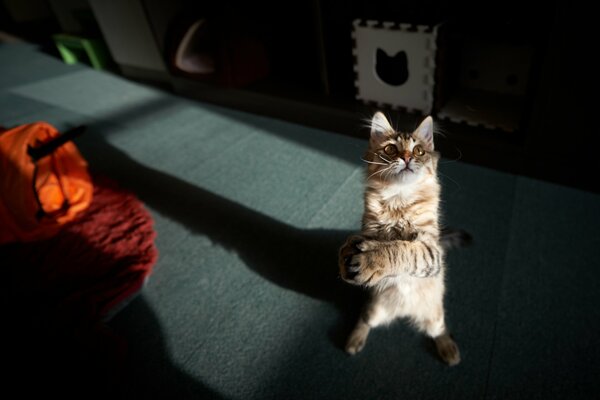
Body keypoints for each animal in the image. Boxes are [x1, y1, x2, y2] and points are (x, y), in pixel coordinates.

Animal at [340, 111, 462, 366]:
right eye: (390, 150)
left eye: (419, 151)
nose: (406, 158)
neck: (400, 199)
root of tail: (406, 312)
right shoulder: (370, 227)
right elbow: (370, 239)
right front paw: (348, 257)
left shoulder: (431, 250)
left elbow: (401, 249)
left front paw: (371, 259)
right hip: (374, 310)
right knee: (364, 320)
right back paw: (353, 342)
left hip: (435, 316)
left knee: (439, 330)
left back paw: (449, 351)